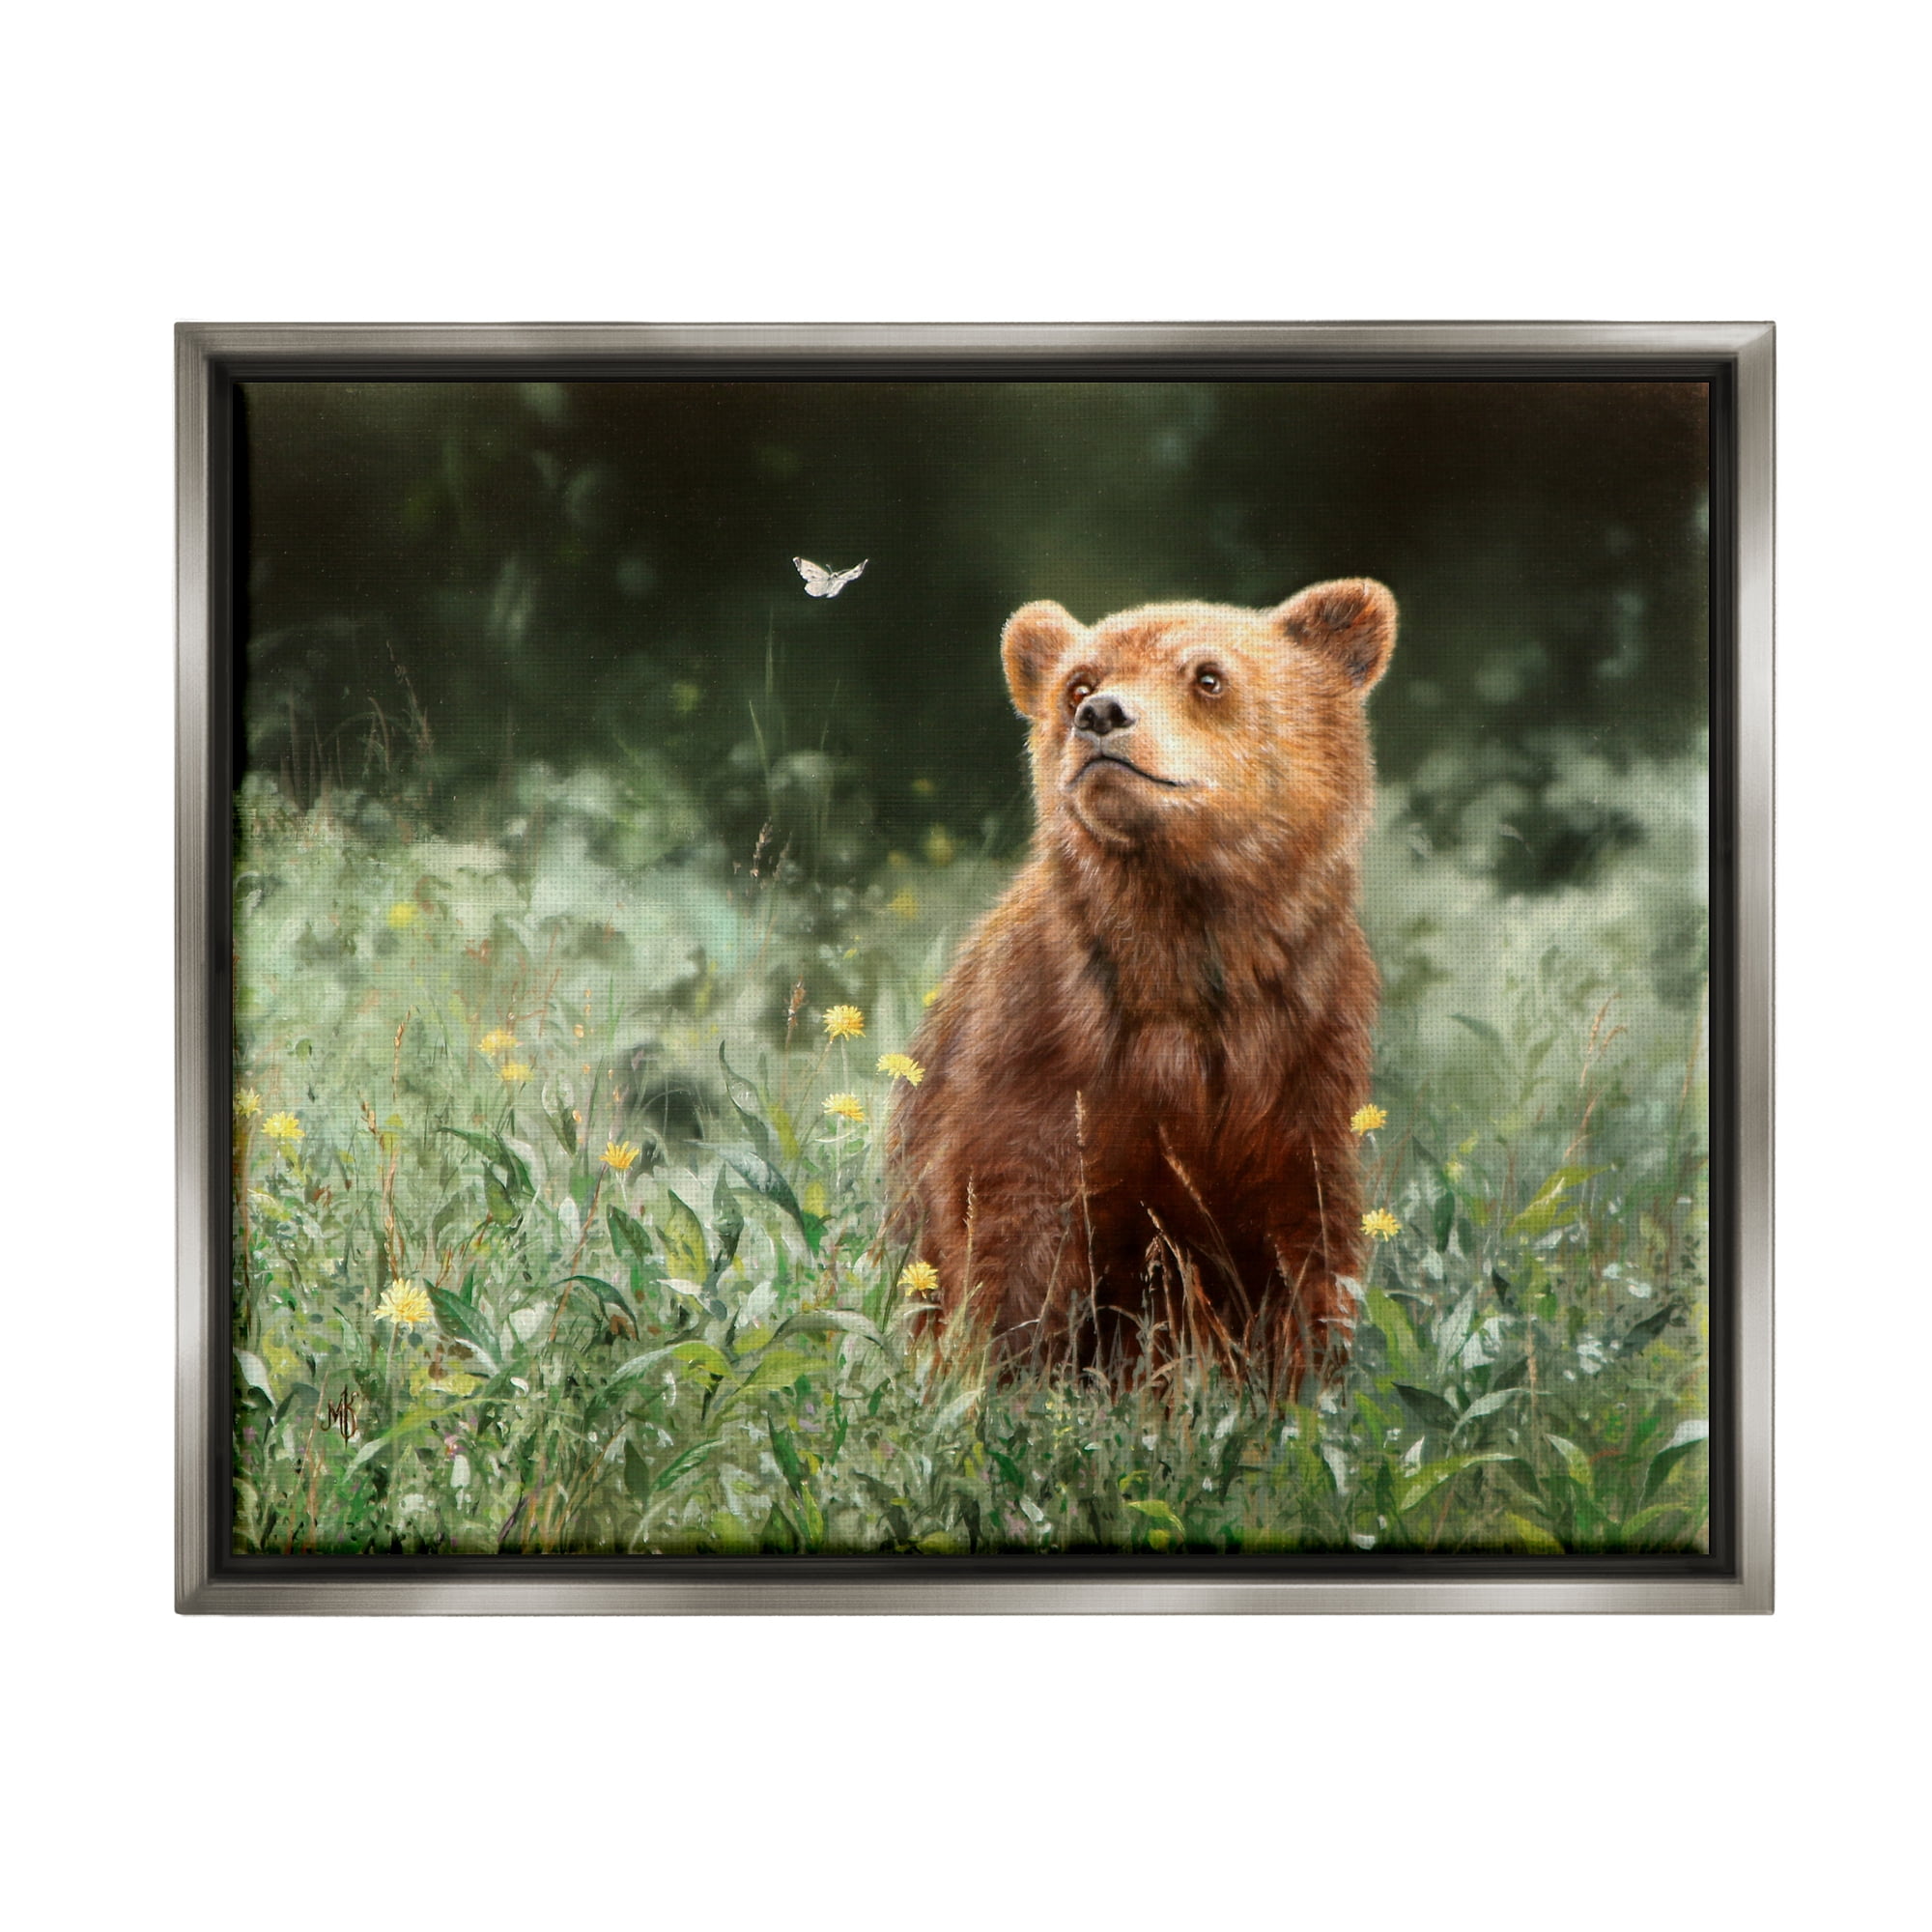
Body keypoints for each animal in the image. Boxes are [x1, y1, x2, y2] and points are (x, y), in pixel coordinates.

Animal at [885, 578, 1396, 1390]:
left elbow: (1302, 1247)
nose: (1101, 715)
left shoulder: (1301, 1056)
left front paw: (1298, 1383)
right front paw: (1005, 1379)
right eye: (1078, 681)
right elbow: (1009, 1235)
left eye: (1208, 676)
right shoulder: (1041, 1053)